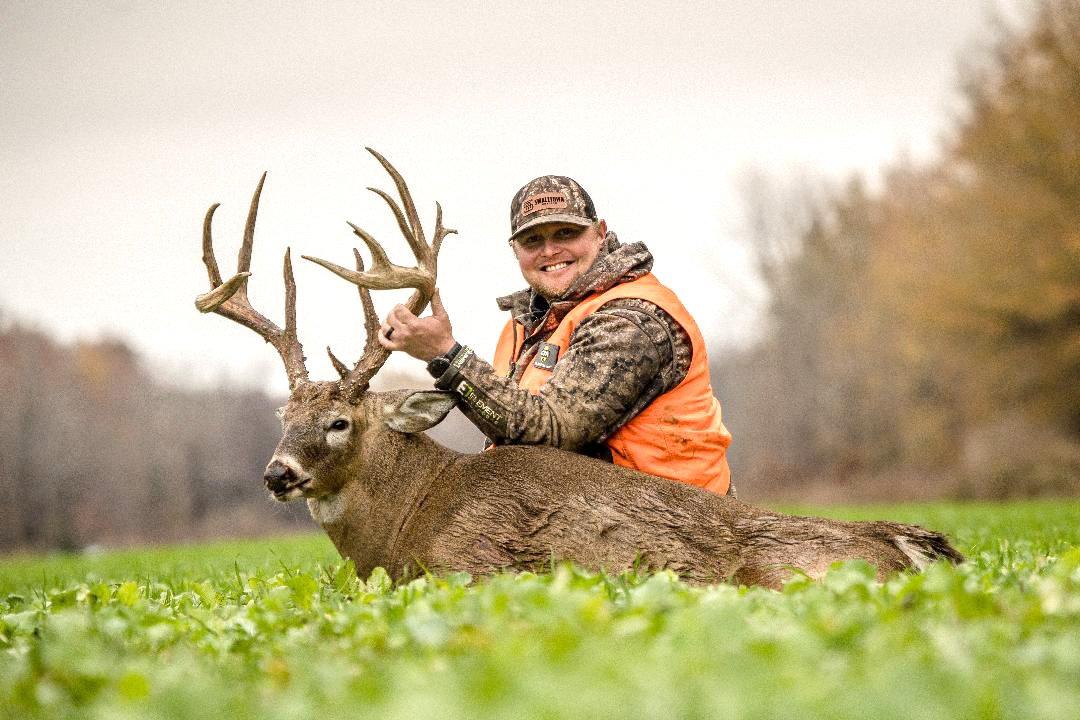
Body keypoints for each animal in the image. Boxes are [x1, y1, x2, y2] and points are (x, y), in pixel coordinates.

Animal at [195, 149, 964, 590]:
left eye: (339, 421)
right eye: (283, 414)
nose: (277, 473)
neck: (409, 518)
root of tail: (914, 544)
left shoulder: (468, 574)